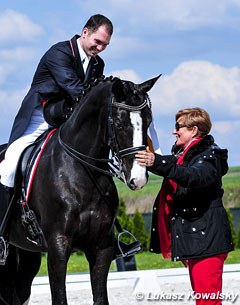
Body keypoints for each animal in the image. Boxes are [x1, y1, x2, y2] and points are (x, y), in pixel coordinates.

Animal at [0, 74, 161, 304]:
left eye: (148, 121)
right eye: (119, 123)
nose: (138, 179)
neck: (82, 171)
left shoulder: (101, 246)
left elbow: (101, 298)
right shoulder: (58, 245)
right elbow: (60, 298)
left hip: (27, 250)